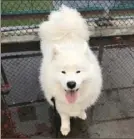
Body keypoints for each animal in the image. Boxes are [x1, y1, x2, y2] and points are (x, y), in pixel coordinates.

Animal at [38, 5, 102, 136]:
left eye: (78, 71)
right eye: (63, 72)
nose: (71, 84)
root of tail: (66, 31)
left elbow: (81, 108)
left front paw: (81, 114)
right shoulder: (59, 103)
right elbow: (64, 117)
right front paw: (65, 128)